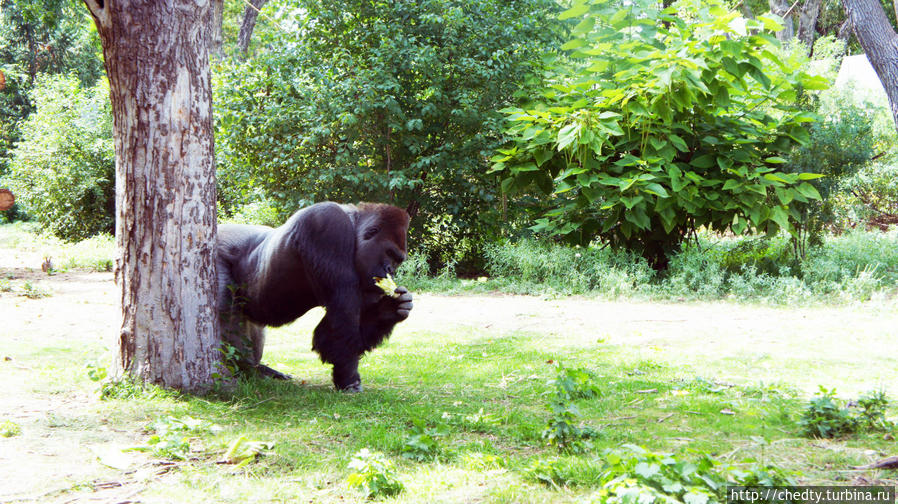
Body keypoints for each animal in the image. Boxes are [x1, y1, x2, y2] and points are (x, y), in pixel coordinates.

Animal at [215, 201, 412, 390]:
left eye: (397, 260)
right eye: (389, 253)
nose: (390, 271)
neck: (353, 224)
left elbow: (328, 337)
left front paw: (390, 310)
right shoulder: (328, 223)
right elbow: (343, 321)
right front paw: (348, 377)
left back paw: (258, 369)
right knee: (226, 315)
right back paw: (244, 369)